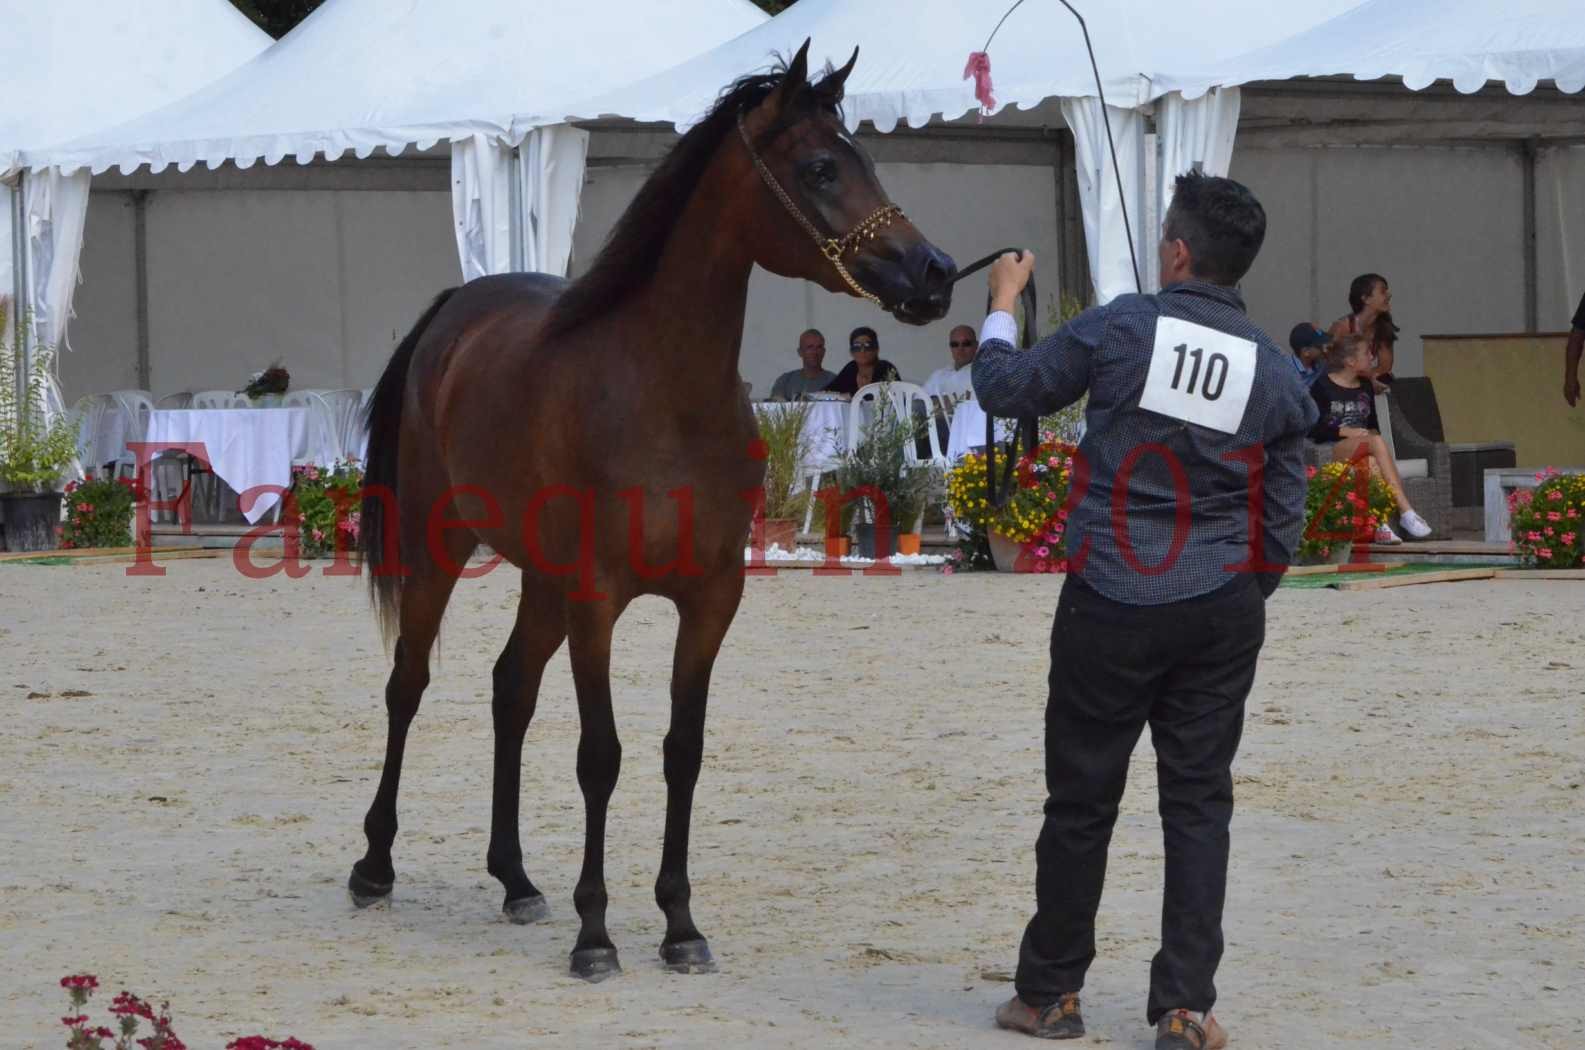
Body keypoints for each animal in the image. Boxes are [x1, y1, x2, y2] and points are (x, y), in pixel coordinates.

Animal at [350, 37, 951, 983]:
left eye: (866, 159)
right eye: (820, 167)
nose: (933, 273)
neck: (663, 395)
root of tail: (454, 313)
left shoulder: (708, 600)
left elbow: (682, 752)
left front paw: (679, 925)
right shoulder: (599, 599)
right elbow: (601, 757)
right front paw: (596, 936)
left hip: (541, 580)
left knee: (510, 691)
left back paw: (516, 879)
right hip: (437, 546)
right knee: (407, 683)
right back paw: (374, 864)